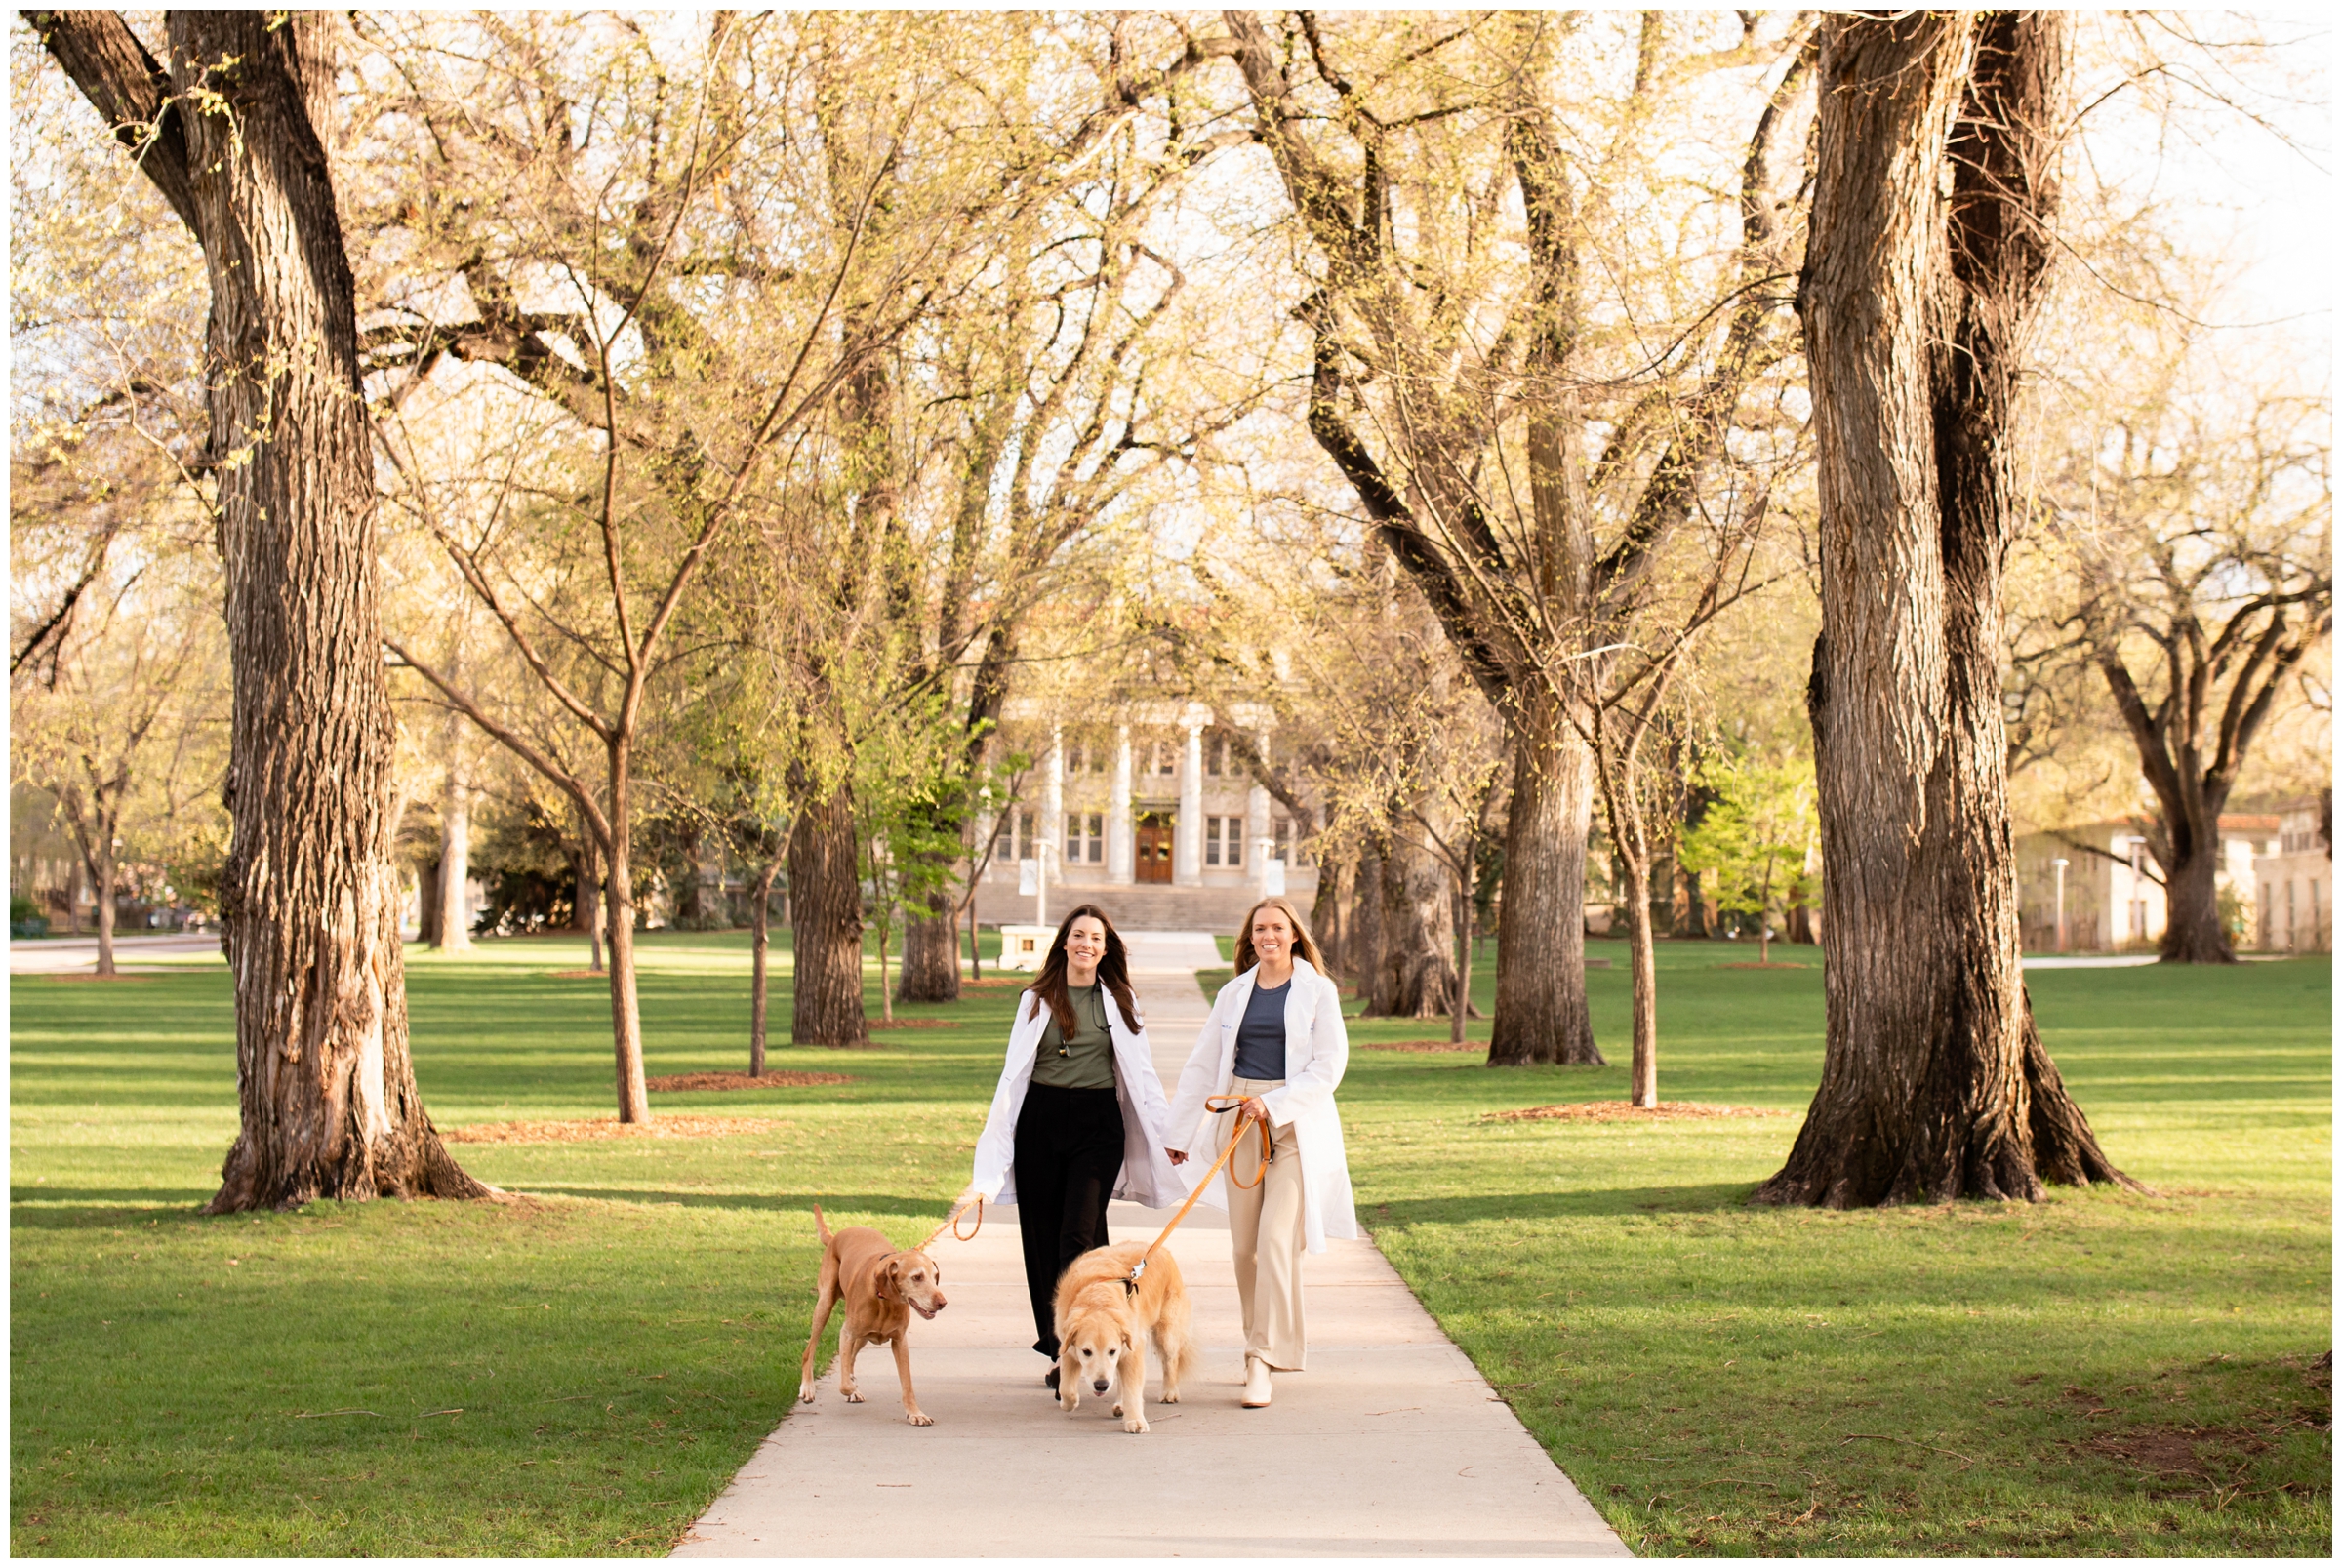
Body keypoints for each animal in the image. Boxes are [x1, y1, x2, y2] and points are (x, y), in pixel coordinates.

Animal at [800, 1207, 946, 1431]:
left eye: (935, 1276)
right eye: (917, 1277)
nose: (942, 1302)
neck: (884, 1299)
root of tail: (835, 1237)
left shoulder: (899, 1341)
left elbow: (907, 1384)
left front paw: (915, 1413)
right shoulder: (847, 1332)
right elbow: (844, 1383)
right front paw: (850, 1386)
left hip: (864, 1336)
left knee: (851, 1357)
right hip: (824, 1306)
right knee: (811, 1350)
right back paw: (808, 1388)